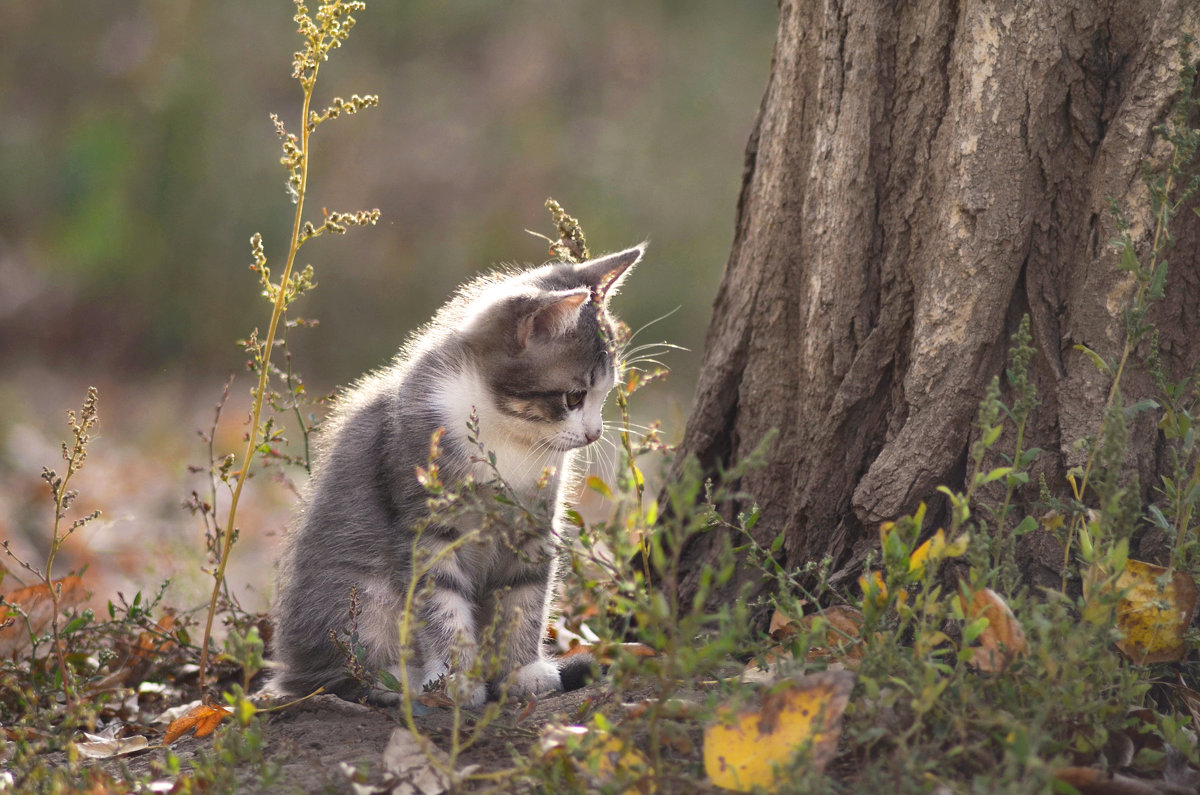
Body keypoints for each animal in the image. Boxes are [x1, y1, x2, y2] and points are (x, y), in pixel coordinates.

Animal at [272, 244, 648, 710]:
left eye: (604, 395)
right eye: (574, 397)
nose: (594, 433)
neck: (505, 435)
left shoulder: (533, 522)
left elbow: (525, 595)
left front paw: (522, 670)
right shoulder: (425, 526)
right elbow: (441, 602)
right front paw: (456, 679)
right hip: (358, 595)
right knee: (345, 671)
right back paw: (402, 682)